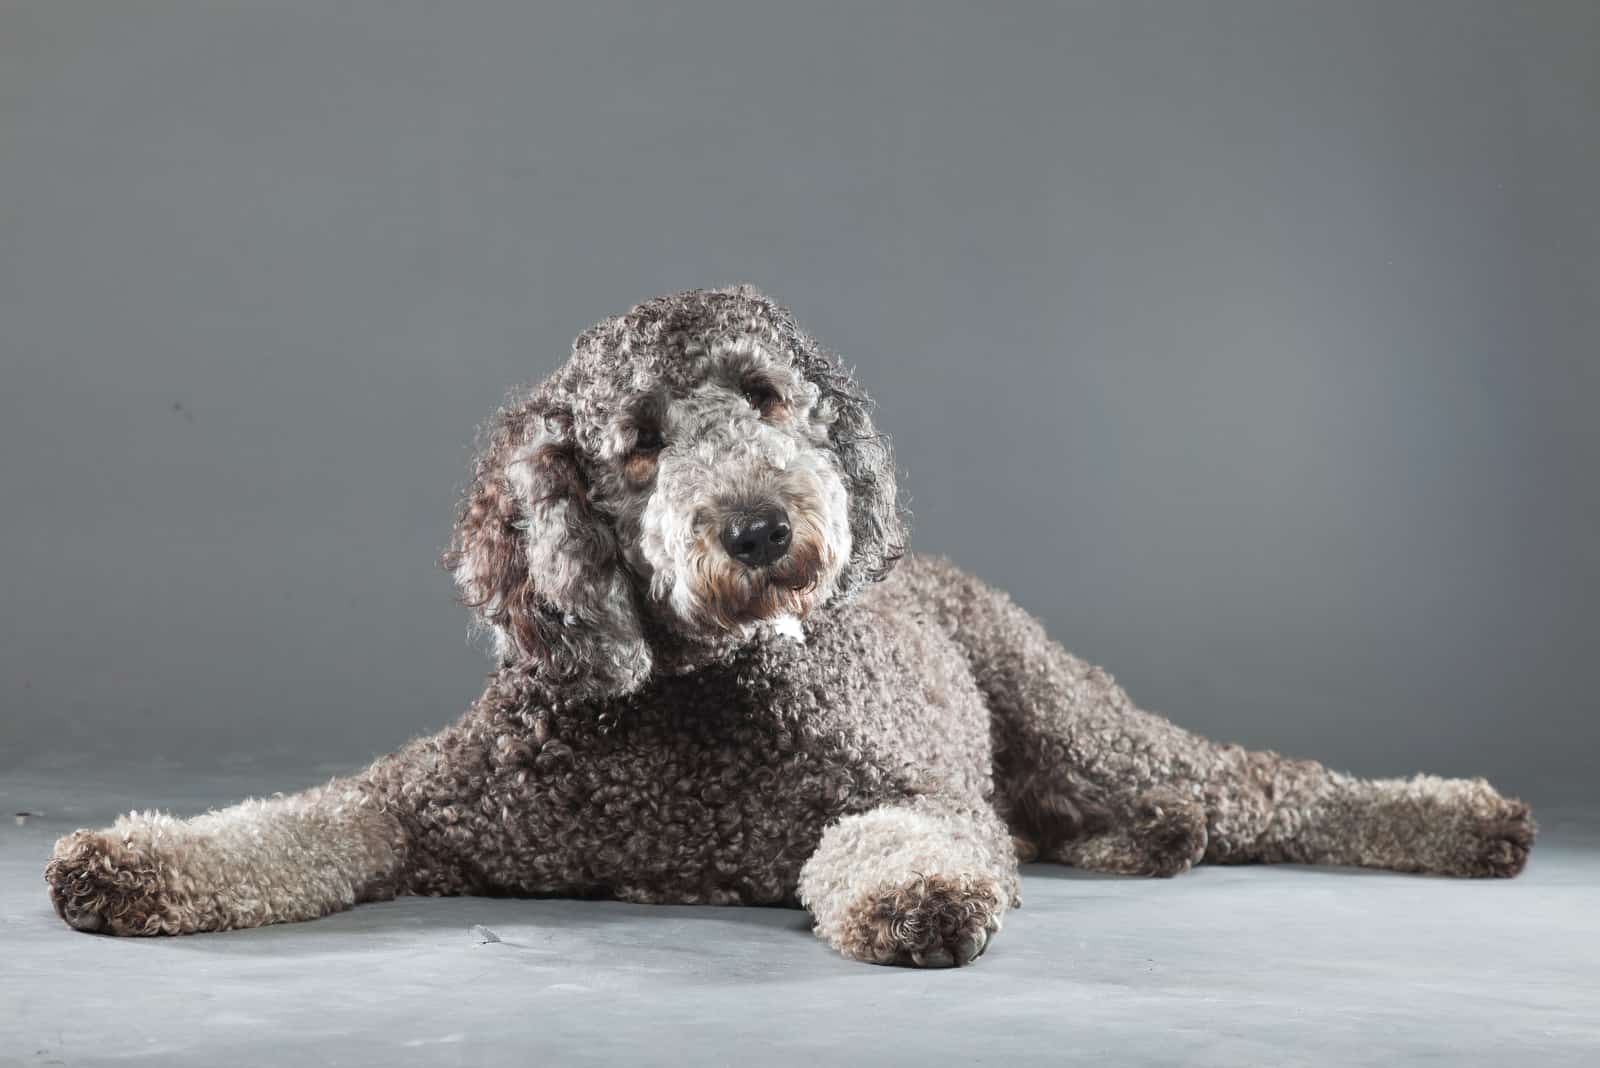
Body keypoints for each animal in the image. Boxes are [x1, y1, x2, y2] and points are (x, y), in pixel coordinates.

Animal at [43, 286, 1529, 965]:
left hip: (1076, 719)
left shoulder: (907, 790)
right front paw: (133, 858)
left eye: (766, 398)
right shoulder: (421, 802)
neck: (696, 695)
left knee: (1261, 786)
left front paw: (915, 898)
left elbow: (904, 839)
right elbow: (288, 823)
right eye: (638, 443)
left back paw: (1454, 818)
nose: (762, 528)